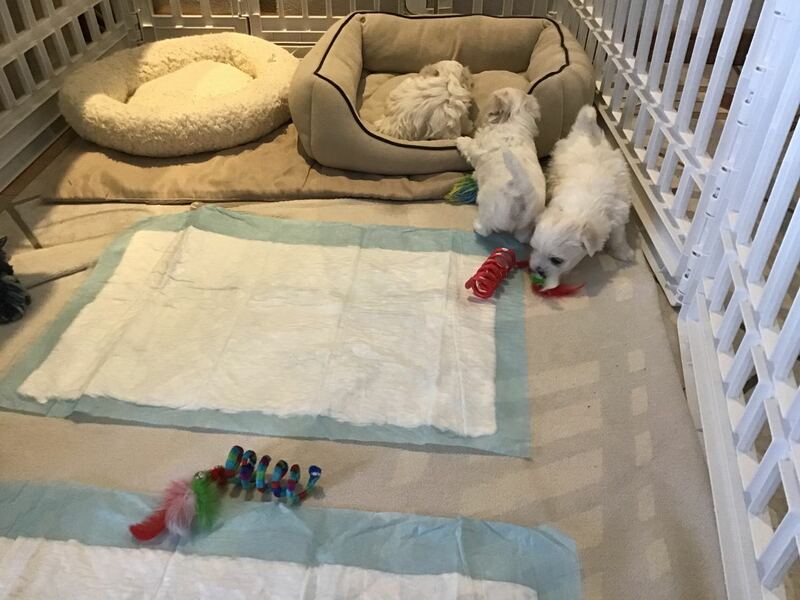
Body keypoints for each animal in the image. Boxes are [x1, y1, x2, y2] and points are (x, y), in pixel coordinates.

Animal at [456, 87, 546, 241]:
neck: (514, 119)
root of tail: (527, 196)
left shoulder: (477, 147)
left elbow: (469, 145)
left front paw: (459, 140)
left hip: (489, 205)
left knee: (486, 228)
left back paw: (477, 226)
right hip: (526, 226)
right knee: (521, 236)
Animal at [529, 105, 634, 290]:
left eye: (556, 260)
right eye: (533, 248)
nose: (538, 270)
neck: (578, 209)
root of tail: (585, 130)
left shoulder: (618, 213)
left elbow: (619, 236)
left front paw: (624, 253)